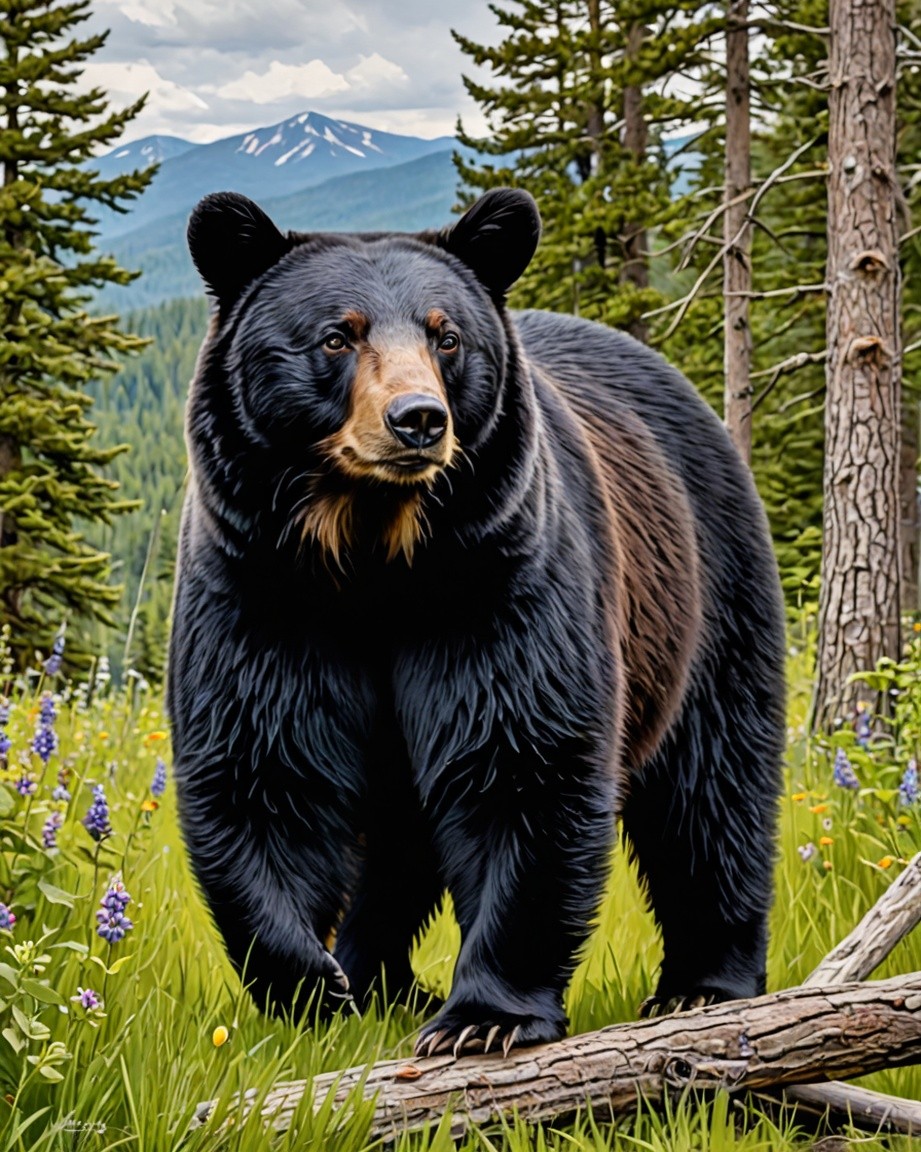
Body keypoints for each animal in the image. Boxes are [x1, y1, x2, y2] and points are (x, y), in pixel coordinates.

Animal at [167, 186, 786, 1058]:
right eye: (336, 334)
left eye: (446, 334)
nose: (417, 418)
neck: (374, 555)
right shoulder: (262, 591)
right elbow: (264, 767)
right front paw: (313, 986)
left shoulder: (495, 583)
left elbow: (520, 763)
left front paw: (484, 1018)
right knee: (398, 844)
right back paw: (377, 977)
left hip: (705, 592)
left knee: (711, 787)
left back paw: (703, 985)